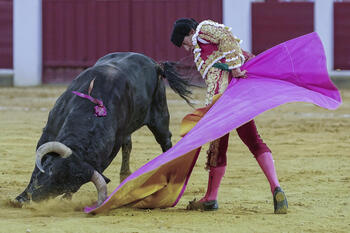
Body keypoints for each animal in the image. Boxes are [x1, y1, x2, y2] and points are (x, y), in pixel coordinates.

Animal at [15, 52, 193, 206]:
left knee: (165, 140)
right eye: (51, 171)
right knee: (129, 145)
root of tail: (155, 64)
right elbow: (36, 168)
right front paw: (21, 198)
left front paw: (65, 200)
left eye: (68, 186)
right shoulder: (49, 130)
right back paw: (125, 176)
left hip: (160, 115)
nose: (36, 197)